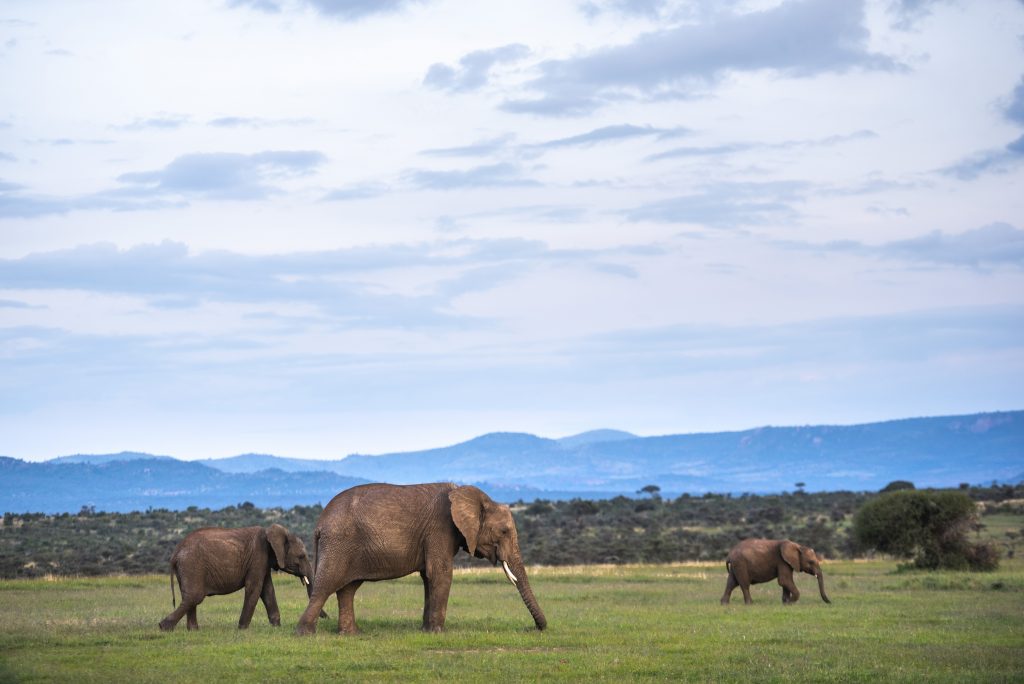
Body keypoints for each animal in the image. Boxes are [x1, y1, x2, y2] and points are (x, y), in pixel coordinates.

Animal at [155, 524, 313, 630]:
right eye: (301, 556)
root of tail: (175, 553)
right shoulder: (258, 557)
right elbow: (254, 588)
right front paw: (242, 629)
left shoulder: (264, 561)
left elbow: (267, 590)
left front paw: (276, 627)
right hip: (191, 565)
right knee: (194, 596)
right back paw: (164, 627)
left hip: (187, 568)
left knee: (189, 598)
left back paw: (192, 631)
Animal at [296, 481, 548, 634]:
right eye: (504, 531)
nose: (537, 628)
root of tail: (320, 523)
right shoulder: (440, 529)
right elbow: (440, 573)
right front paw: (438, 633)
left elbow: (429, 577)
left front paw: (427, 631)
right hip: (339, 543)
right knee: (326, 585)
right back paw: (305, 633)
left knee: (347, 589)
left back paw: (351, 634)